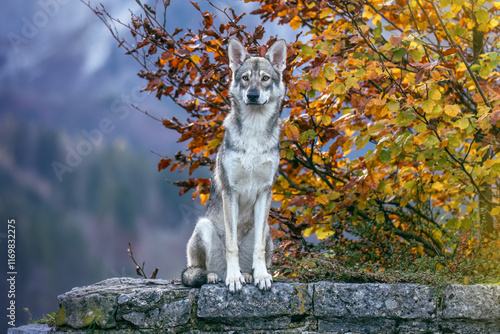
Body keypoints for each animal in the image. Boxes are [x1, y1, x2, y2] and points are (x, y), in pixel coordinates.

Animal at [182, 38, 288, 292]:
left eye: (265, 78)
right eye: (246, 78)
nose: (253, 95)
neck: (254, 132)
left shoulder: (264, 192)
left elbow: (258, 249)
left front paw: (262, 276)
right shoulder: (231, 192)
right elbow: (232, 245)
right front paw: (233, 279)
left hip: (267, 229)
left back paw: (248, 275)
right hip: (204, 227)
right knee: (203, 270)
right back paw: (219, 276)